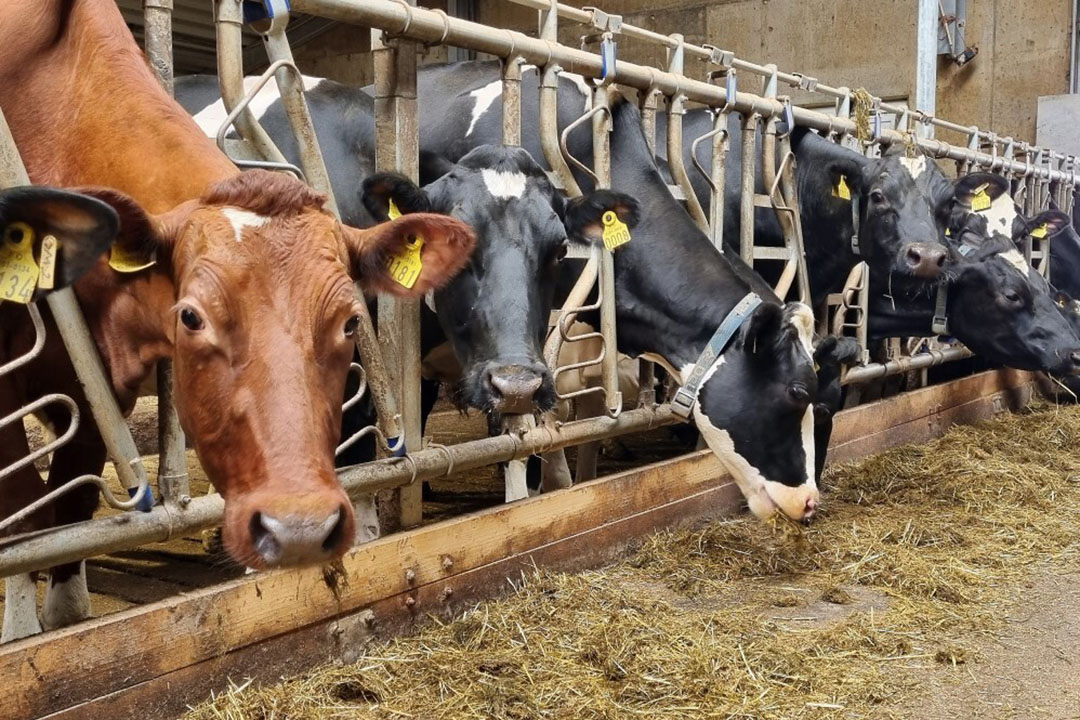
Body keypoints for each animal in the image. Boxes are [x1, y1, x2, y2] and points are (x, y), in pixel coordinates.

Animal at [1, 0, 473, 643]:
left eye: (351, 322)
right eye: (191, 317)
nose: (298, 529)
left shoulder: (96, 385)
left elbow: (68, 533)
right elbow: (24, 530)